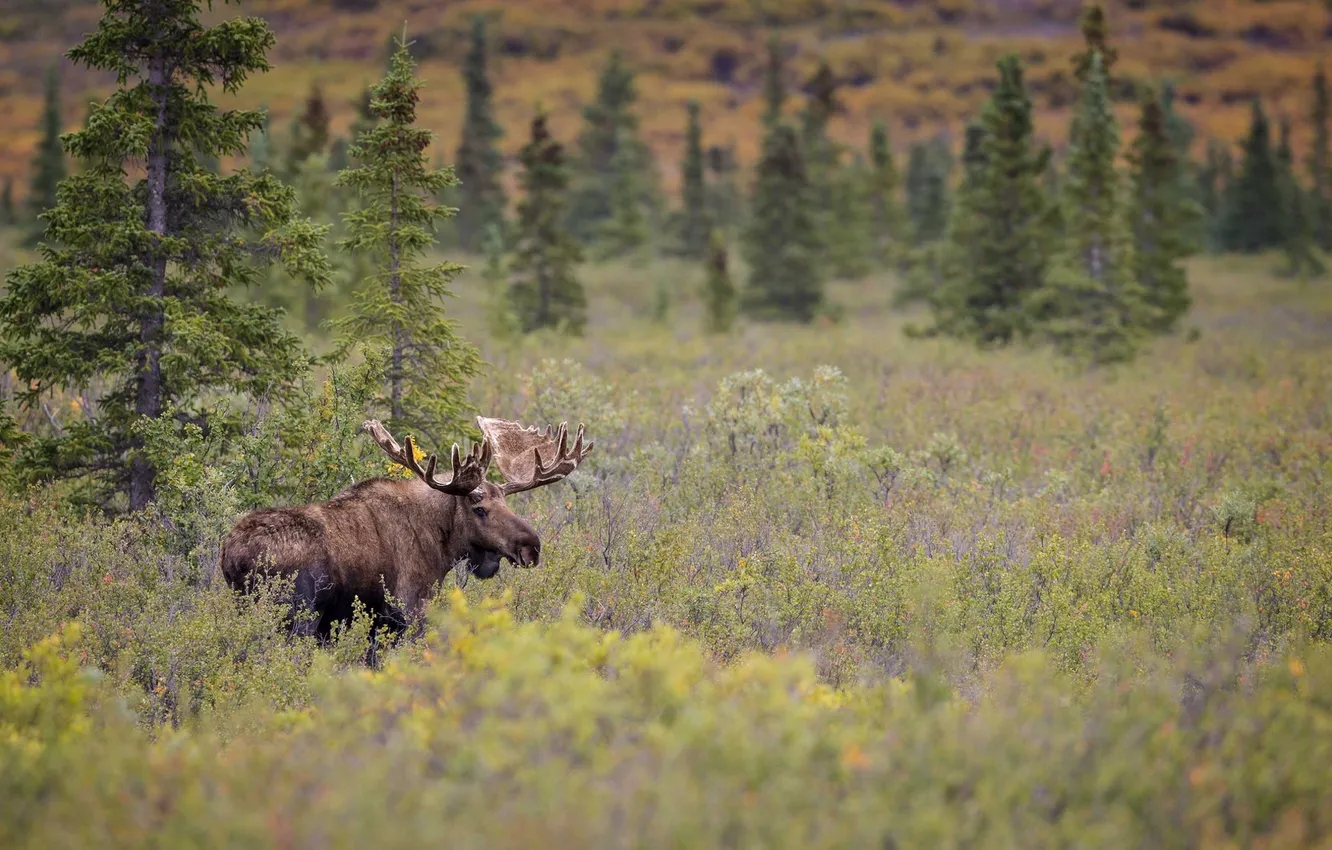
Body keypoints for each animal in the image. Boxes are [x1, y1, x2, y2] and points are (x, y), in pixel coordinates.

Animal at [220, 415, 593, 639]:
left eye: (507, 503)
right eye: (480, 509)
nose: (531, 547)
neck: (441, 544)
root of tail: (232, 556)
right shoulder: (410, 609)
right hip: (296, 615)